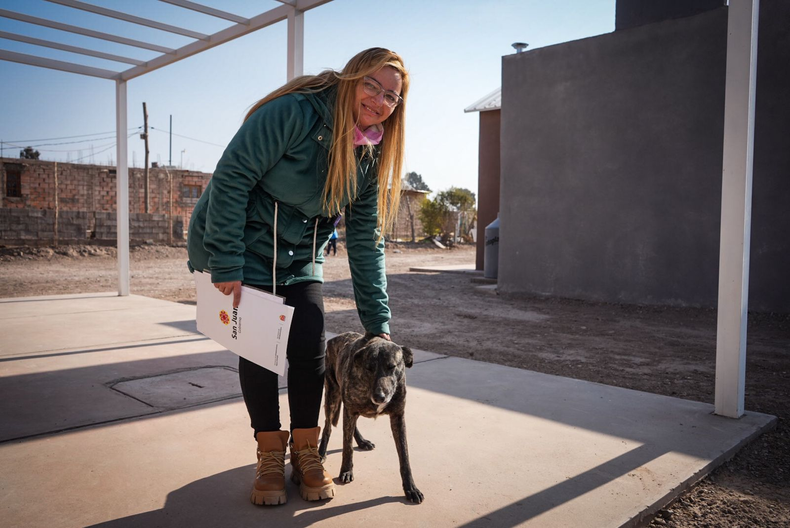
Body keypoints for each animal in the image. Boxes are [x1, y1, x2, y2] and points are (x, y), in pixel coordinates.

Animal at [318, 334, 424, 504]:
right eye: (369, 368)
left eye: (391, 366)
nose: (379, 397)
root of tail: (334, 338)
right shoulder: (350, 410)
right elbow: (347, 447)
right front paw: (346, 470)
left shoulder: (398, 417)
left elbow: (404, 456)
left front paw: (411, 488)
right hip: (332, 396)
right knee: (328, 426)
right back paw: (321, 453)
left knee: (350, 426)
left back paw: (361, 441)